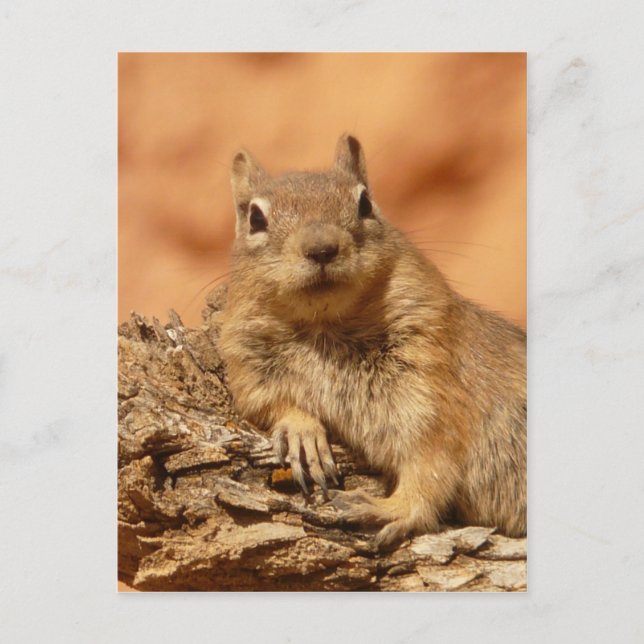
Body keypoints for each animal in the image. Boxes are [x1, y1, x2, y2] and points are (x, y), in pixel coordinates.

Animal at [217, 134, 526, 548]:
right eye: (255, 218)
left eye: (365, 203)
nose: (321, 249)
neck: (325, 327)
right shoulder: (248, 366)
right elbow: (268, 403)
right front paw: (302, 432)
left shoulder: (431, 388)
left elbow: (431, 464)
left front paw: (390, 508)